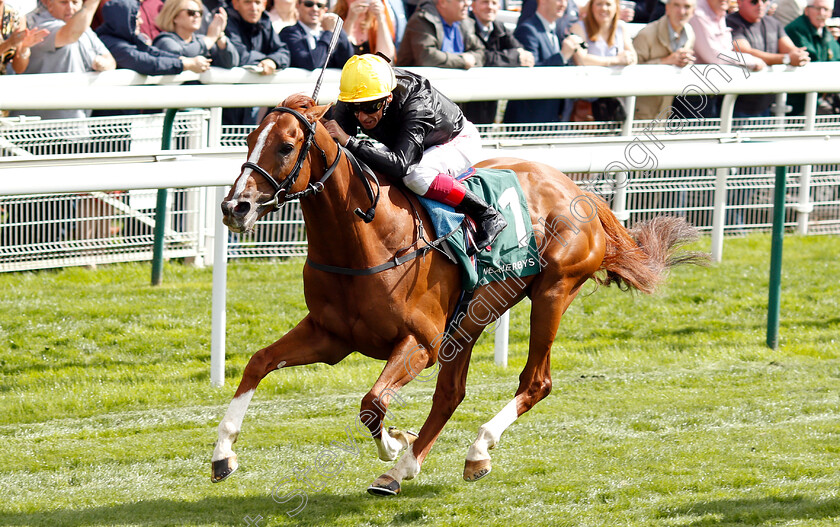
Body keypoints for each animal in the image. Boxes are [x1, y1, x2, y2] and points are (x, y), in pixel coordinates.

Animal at [212, 94, 708, 496]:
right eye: (249, 138)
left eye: (286, 145)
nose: (235, 206)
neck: (366, 236)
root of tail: (574, 185)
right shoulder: (330, 336)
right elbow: (258, 362)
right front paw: (222, 454)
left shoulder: (421, 342)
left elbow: (373, 404)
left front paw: (394, 442)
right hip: (471, 317)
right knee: (451, 393)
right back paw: (410, 468)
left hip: (553, 291)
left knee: (535, 381)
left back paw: (469, 452)